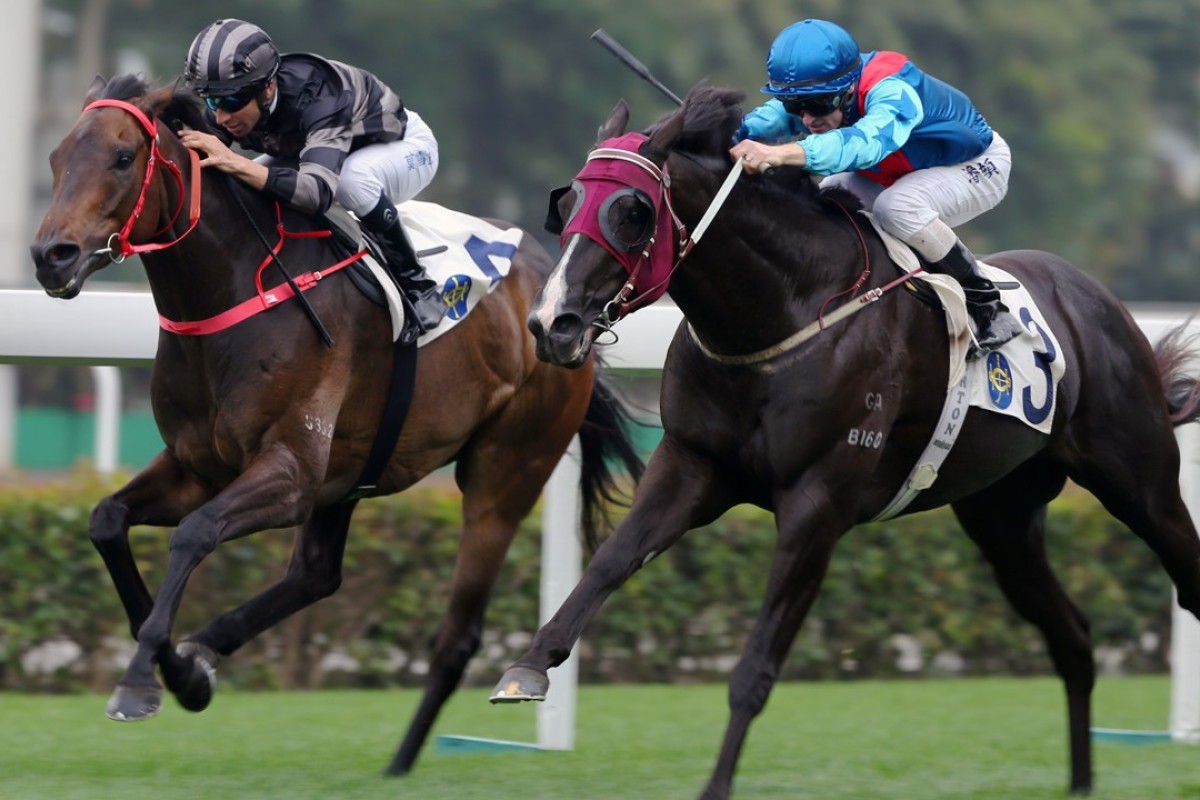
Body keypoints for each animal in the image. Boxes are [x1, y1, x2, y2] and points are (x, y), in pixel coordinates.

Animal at [28, 74, 643, 777]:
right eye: (55, 159)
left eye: (123, 158)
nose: (51, 256)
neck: (237, 291)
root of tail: (560, 308)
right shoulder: (197, 466)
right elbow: (106, 521)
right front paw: (180, 669)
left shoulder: (290, 473)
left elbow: (194, 534)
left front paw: (142, 681)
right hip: (349, 471)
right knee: (316, 574)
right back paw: (209, 653)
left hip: (504, 473)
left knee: (458, 635)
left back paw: (400, 763)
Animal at [489, 84, 1200, 796]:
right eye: (567, 204)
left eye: (632, 212)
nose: (551, 324)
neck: (785, 310)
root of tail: (1098, 301)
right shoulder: (691, 467)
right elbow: (608, 564)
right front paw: (528, 667)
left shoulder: (817, 504)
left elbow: (755, 669)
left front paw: (717, 783)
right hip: (1002, 518)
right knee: (1073, 639)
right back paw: (1080, 779)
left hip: (1140, 480)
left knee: (1182, 579)